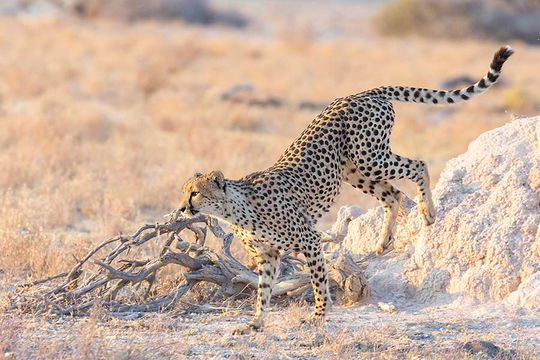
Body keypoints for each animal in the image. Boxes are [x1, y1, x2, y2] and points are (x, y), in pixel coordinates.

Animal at [178, 46, 516, 334]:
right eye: (184, 192)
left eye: (195, 193)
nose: (182, 208)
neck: (238, 209)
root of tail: (361, 93)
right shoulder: (268, 255)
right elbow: (263, 291)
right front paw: (256, 323)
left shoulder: (310, 239)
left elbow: (318, 281)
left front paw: (318, 316)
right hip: (355, 170)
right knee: (392, 194)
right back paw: (383, 242)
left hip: (370, 157)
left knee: (418, 165)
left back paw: (427, 212)